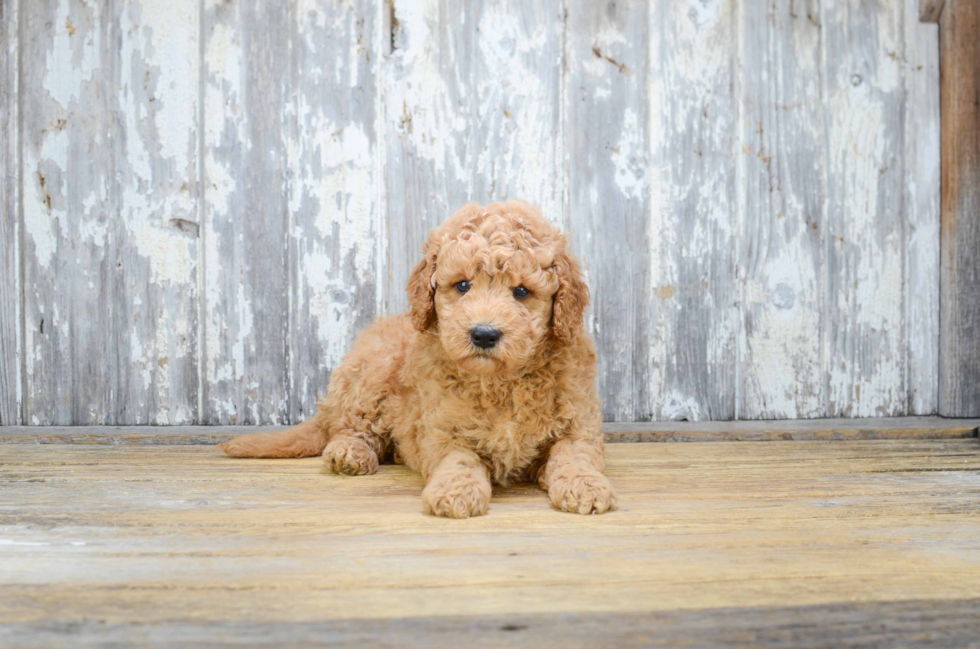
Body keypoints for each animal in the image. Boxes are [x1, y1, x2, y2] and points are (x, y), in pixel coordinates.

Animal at [224, 200, 620, 520]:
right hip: (373, 374)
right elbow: (458, 459)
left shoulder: (578, 424)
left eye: (522, 292)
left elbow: (574, 455)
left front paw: (585, 486)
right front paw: (456, 491)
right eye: (462, 286)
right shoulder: (442, 429)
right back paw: (349, 454)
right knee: (350, 428)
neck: (499, 381)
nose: (484, 334)